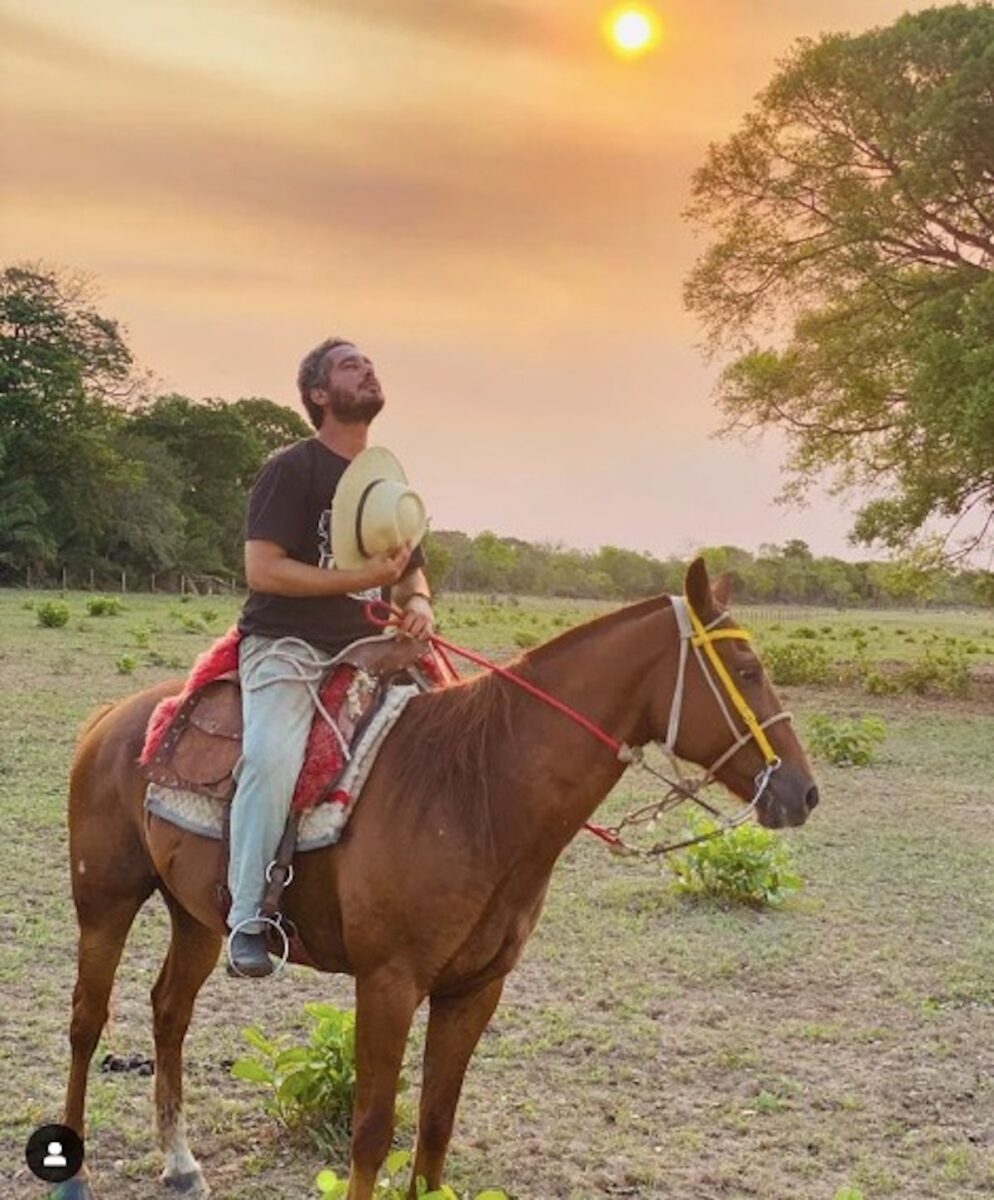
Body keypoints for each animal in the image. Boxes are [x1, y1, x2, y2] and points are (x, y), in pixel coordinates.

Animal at [56, 561, 816, 1200]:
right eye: (746, 668)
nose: (802, 793)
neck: (477, 790)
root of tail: (112, 718)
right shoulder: (388, 983)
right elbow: (372, 1131)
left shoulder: (474, 989)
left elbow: (436, 1127)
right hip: (104, 903)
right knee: (87, 1020)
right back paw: (74, 1174)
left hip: (197, 917)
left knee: (168, 1012)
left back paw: (181, 1163)